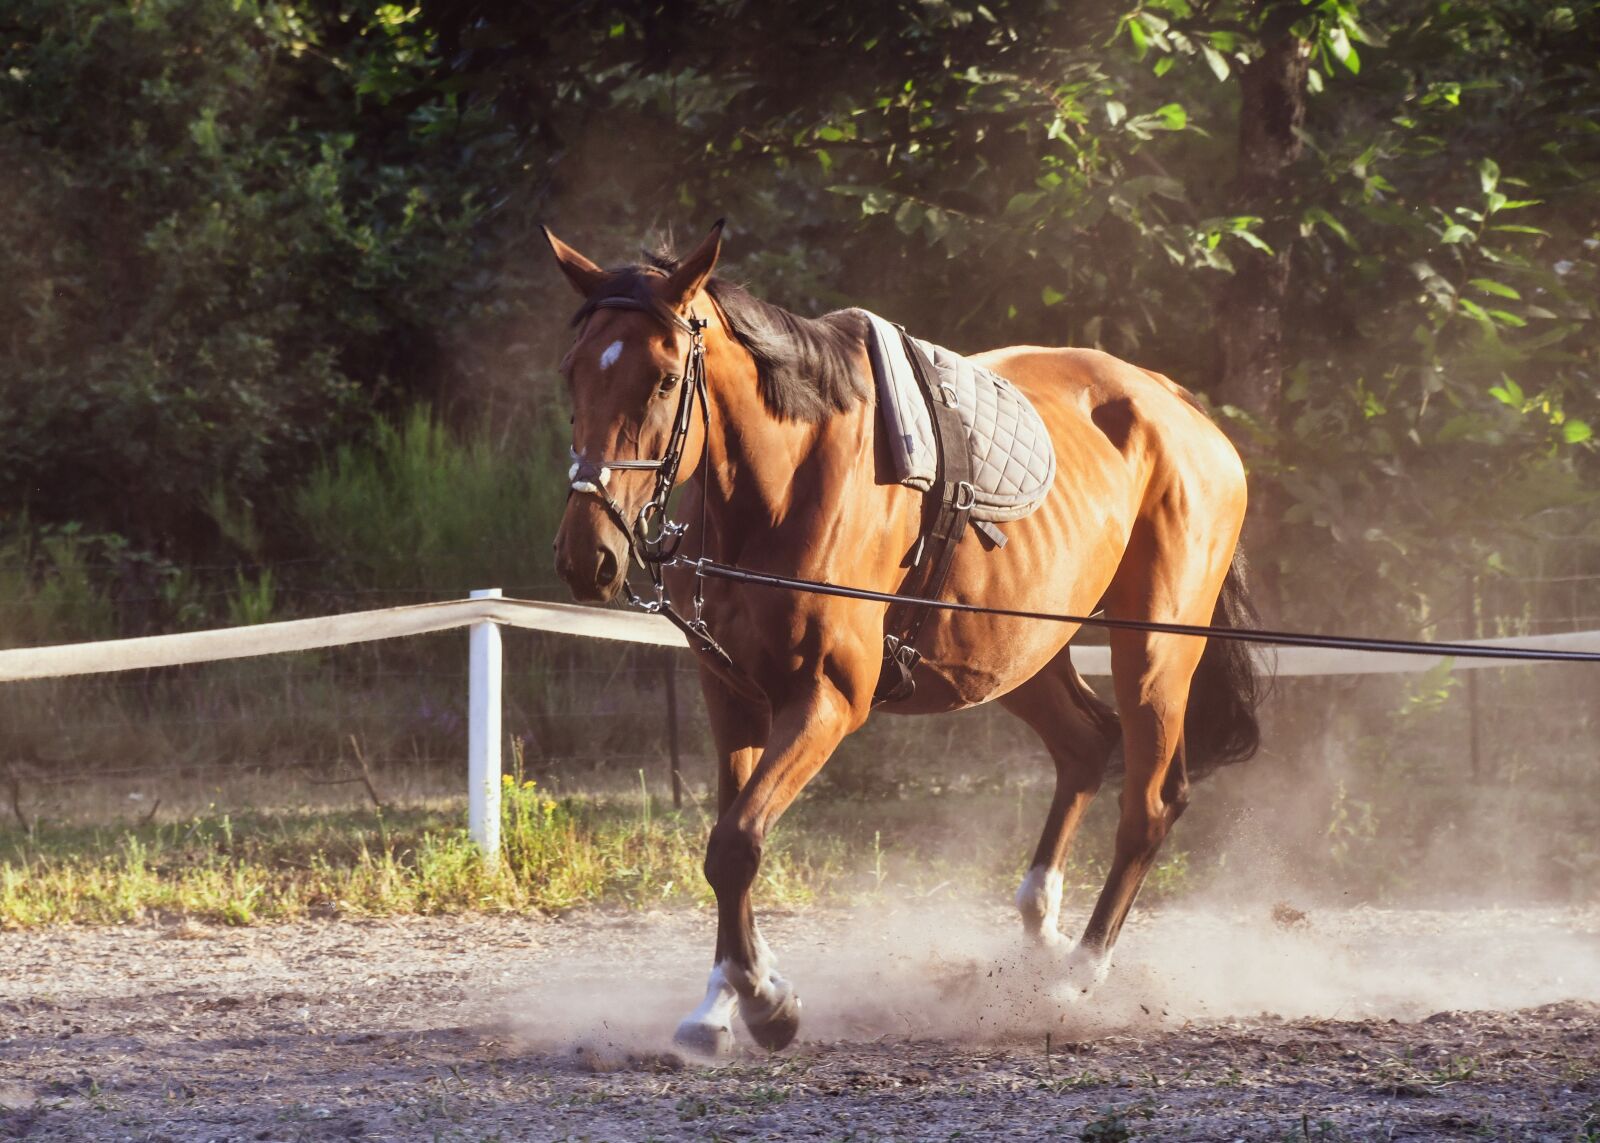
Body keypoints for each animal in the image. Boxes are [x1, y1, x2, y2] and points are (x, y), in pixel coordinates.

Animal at [545, 220, 1262, 1056]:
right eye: (573, 374)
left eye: (662, 381)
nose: (587, 555)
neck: (785, 486)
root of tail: (1184, 410)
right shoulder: (732, 694)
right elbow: (728, 843)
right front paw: (722, 999)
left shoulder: (828, 700)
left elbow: (737, 841)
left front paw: (764, 1001)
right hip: (1013, 652)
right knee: (1087, 743)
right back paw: (1040, 928)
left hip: (1152, 649)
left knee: (1149, 802)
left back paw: (1078, 976)